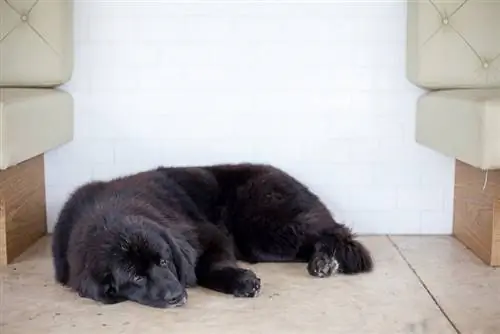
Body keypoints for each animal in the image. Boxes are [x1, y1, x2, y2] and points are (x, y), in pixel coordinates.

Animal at [52, 164, 374, 308]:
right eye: (136, 277)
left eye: (164, 261)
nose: (175, 296)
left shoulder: (209, 233)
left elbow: (207, 266)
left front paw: (240, 281)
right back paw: (323, 260)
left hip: (263, 228)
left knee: (331, 231)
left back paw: (326, 259)